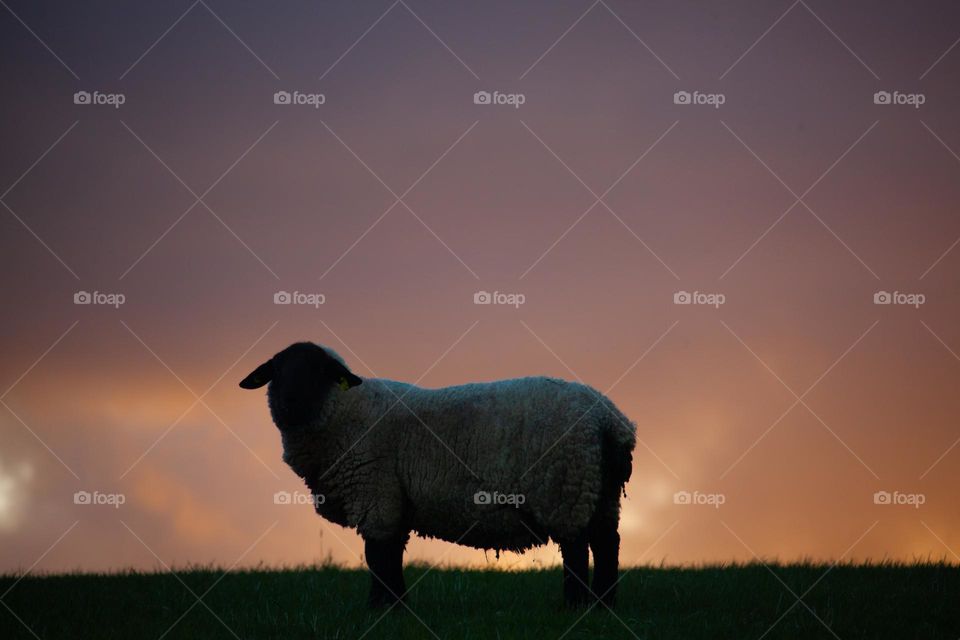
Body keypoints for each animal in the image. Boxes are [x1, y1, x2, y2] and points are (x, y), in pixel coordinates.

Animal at [238, 342, 636, 608]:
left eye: (319, 372)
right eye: (276, 372)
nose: (289, 404)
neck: (342, 410)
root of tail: (609, 418)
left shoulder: (375, 491)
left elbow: (377, 555)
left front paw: (379, 609)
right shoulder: (396, 499)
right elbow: (391, 554)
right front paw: (398, 607)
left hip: (563, 487)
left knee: (576, 548)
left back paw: (575, 605)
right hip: (599, 490)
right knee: (607, 542)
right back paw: (604, 605)